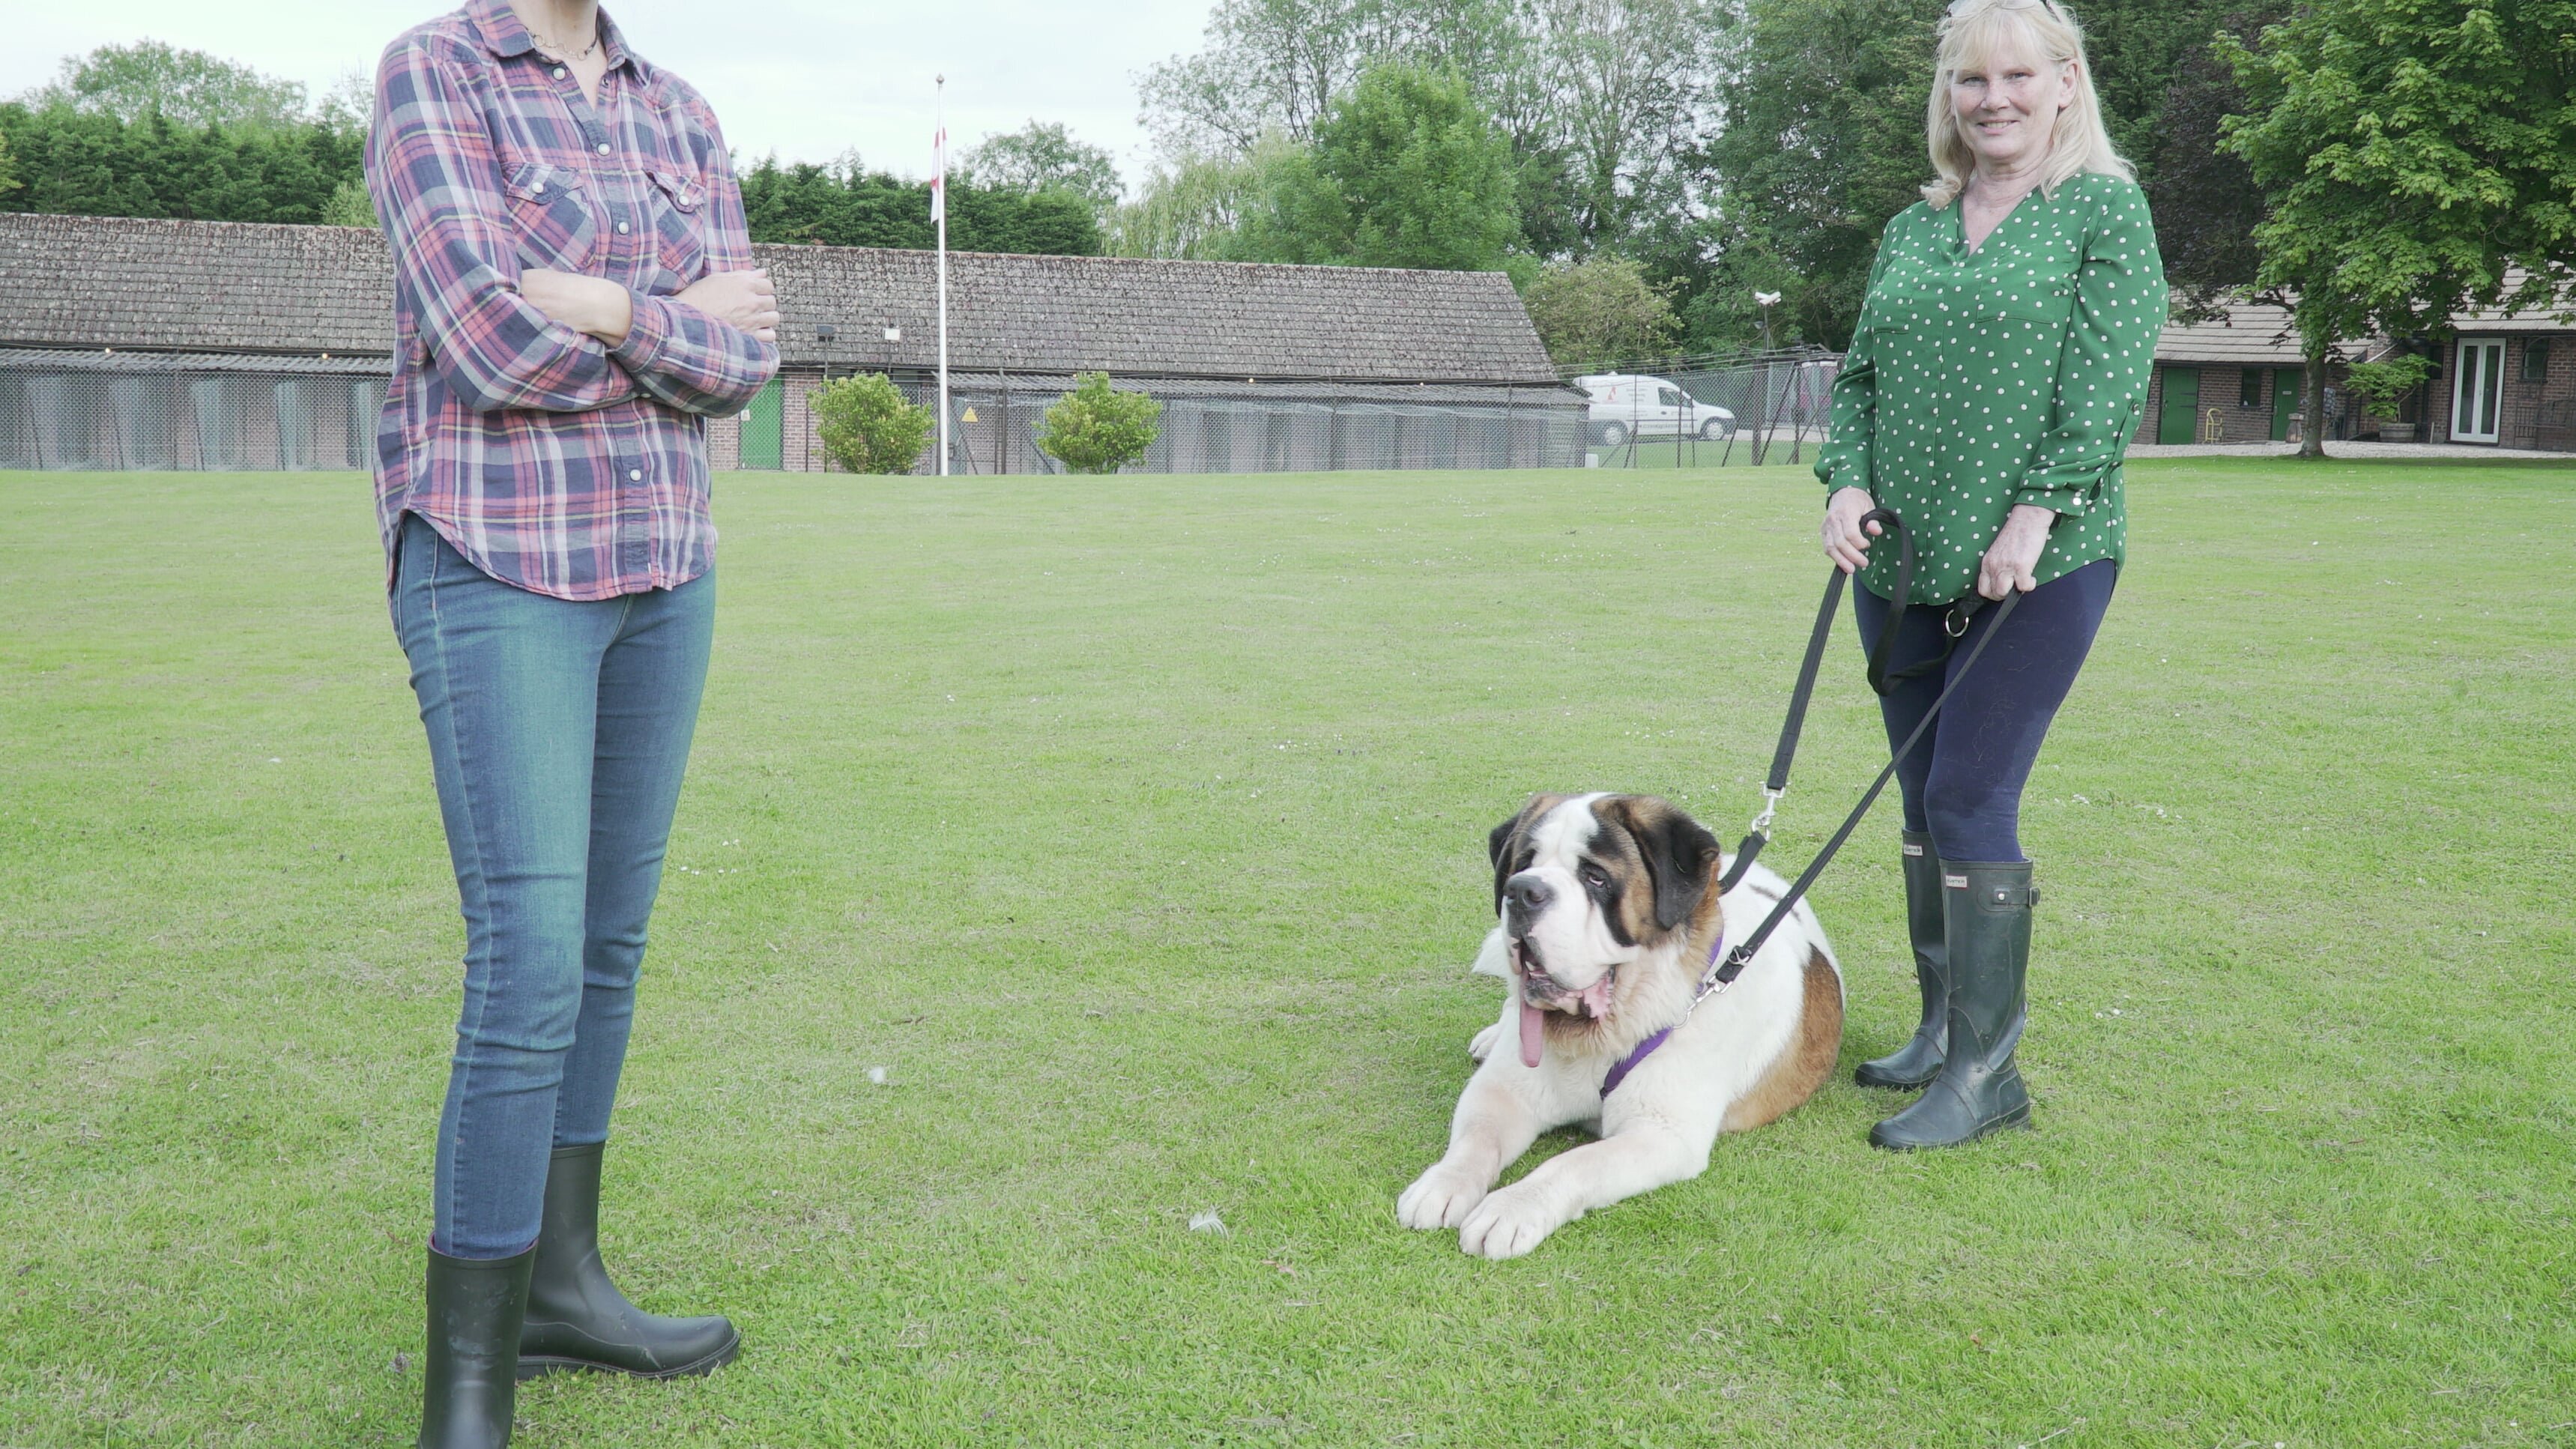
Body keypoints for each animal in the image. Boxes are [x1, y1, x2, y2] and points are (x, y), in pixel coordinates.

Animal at [1401, 793, 1844, 1261]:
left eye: (1595, 877)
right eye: (1523, 863)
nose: (1521, 891)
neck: (1603, 1032)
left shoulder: (1661, 1134)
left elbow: (1574, 1163)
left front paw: (1511, 1208)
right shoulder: (1502, 1090)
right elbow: (1477, 1138)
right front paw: (1441, 1184)